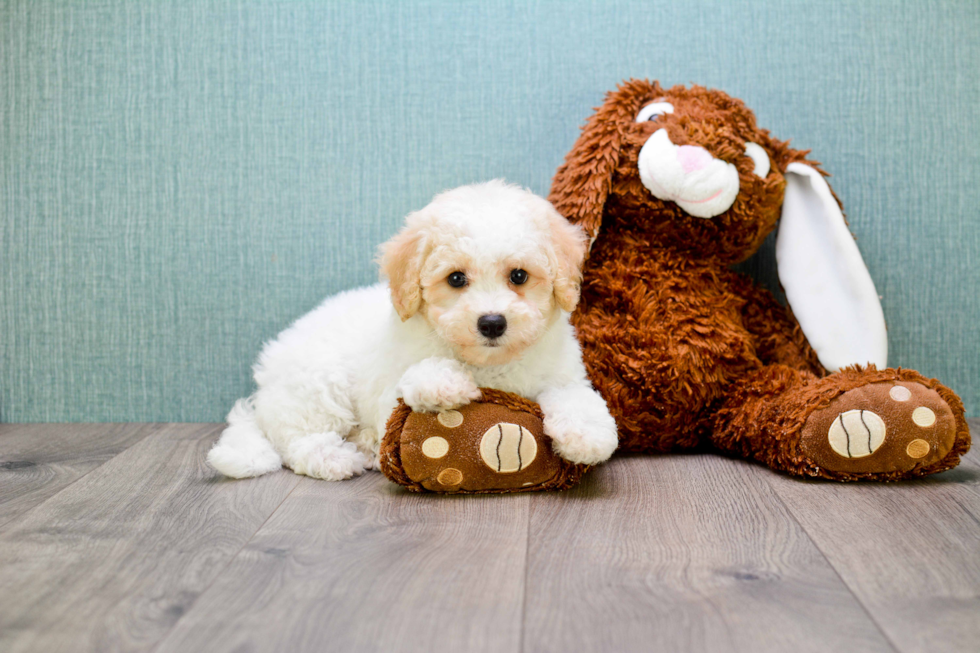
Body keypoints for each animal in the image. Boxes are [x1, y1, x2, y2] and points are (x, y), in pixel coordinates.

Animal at [208, 178, 616, 478]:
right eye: (456, 279)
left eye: (519, 276)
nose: (492, 323)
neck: (489, 364)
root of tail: (262, 392)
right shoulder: (388, 393)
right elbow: (414, 379)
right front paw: (446, 383)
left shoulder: (562, 371)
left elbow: (576, 396)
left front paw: (588, 435)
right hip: (316, 386)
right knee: (299, 443)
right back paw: (340, 458)